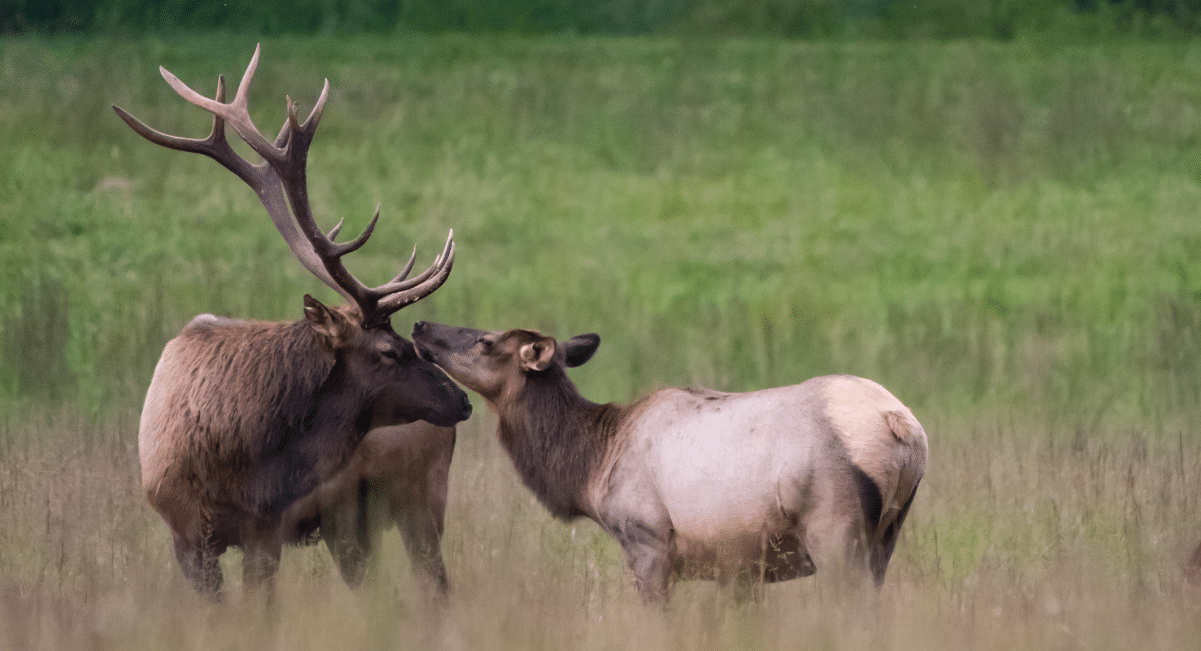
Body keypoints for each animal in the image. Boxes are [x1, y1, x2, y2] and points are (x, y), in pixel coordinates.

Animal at [114, 45, 472, 599]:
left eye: (409, 346)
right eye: (390, 352)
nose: (463, 399)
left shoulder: (267, 529)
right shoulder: (185, 534)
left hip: (418, 496)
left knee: (434, 588)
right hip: (353, 525)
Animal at [410, 322, 928, 603]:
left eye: (485, 340)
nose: (421, 327)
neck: (591, 467)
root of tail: (904, 428)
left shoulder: (647, 541)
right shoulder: (739, 566)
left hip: (836, 529)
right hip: (886, 539)